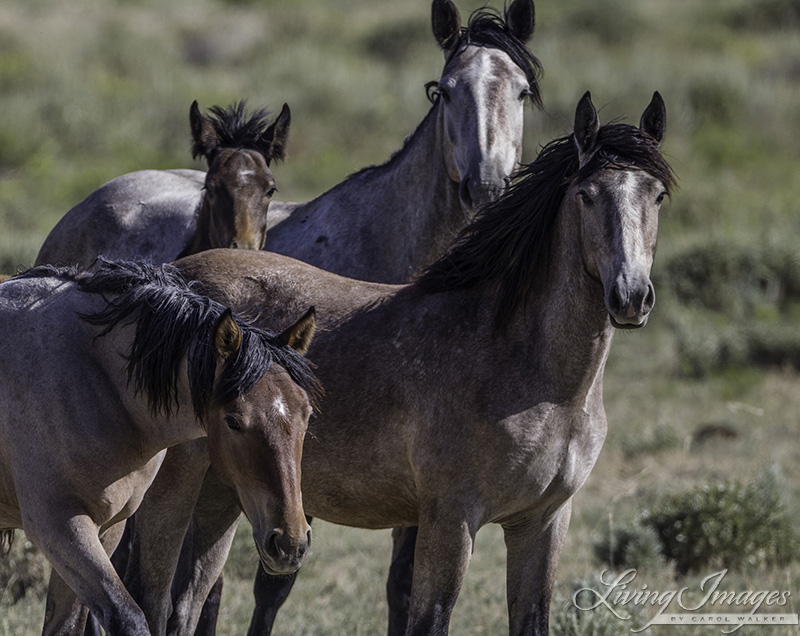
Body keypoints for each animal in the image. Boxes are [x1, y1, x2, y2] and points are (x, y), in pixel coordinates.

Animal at [0, 260, 318, 636]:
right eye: (234, 421)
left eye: (306, 414)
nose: (290, 543)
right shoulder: (59, 527)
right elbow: (128, 617)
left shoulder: (107, 528)